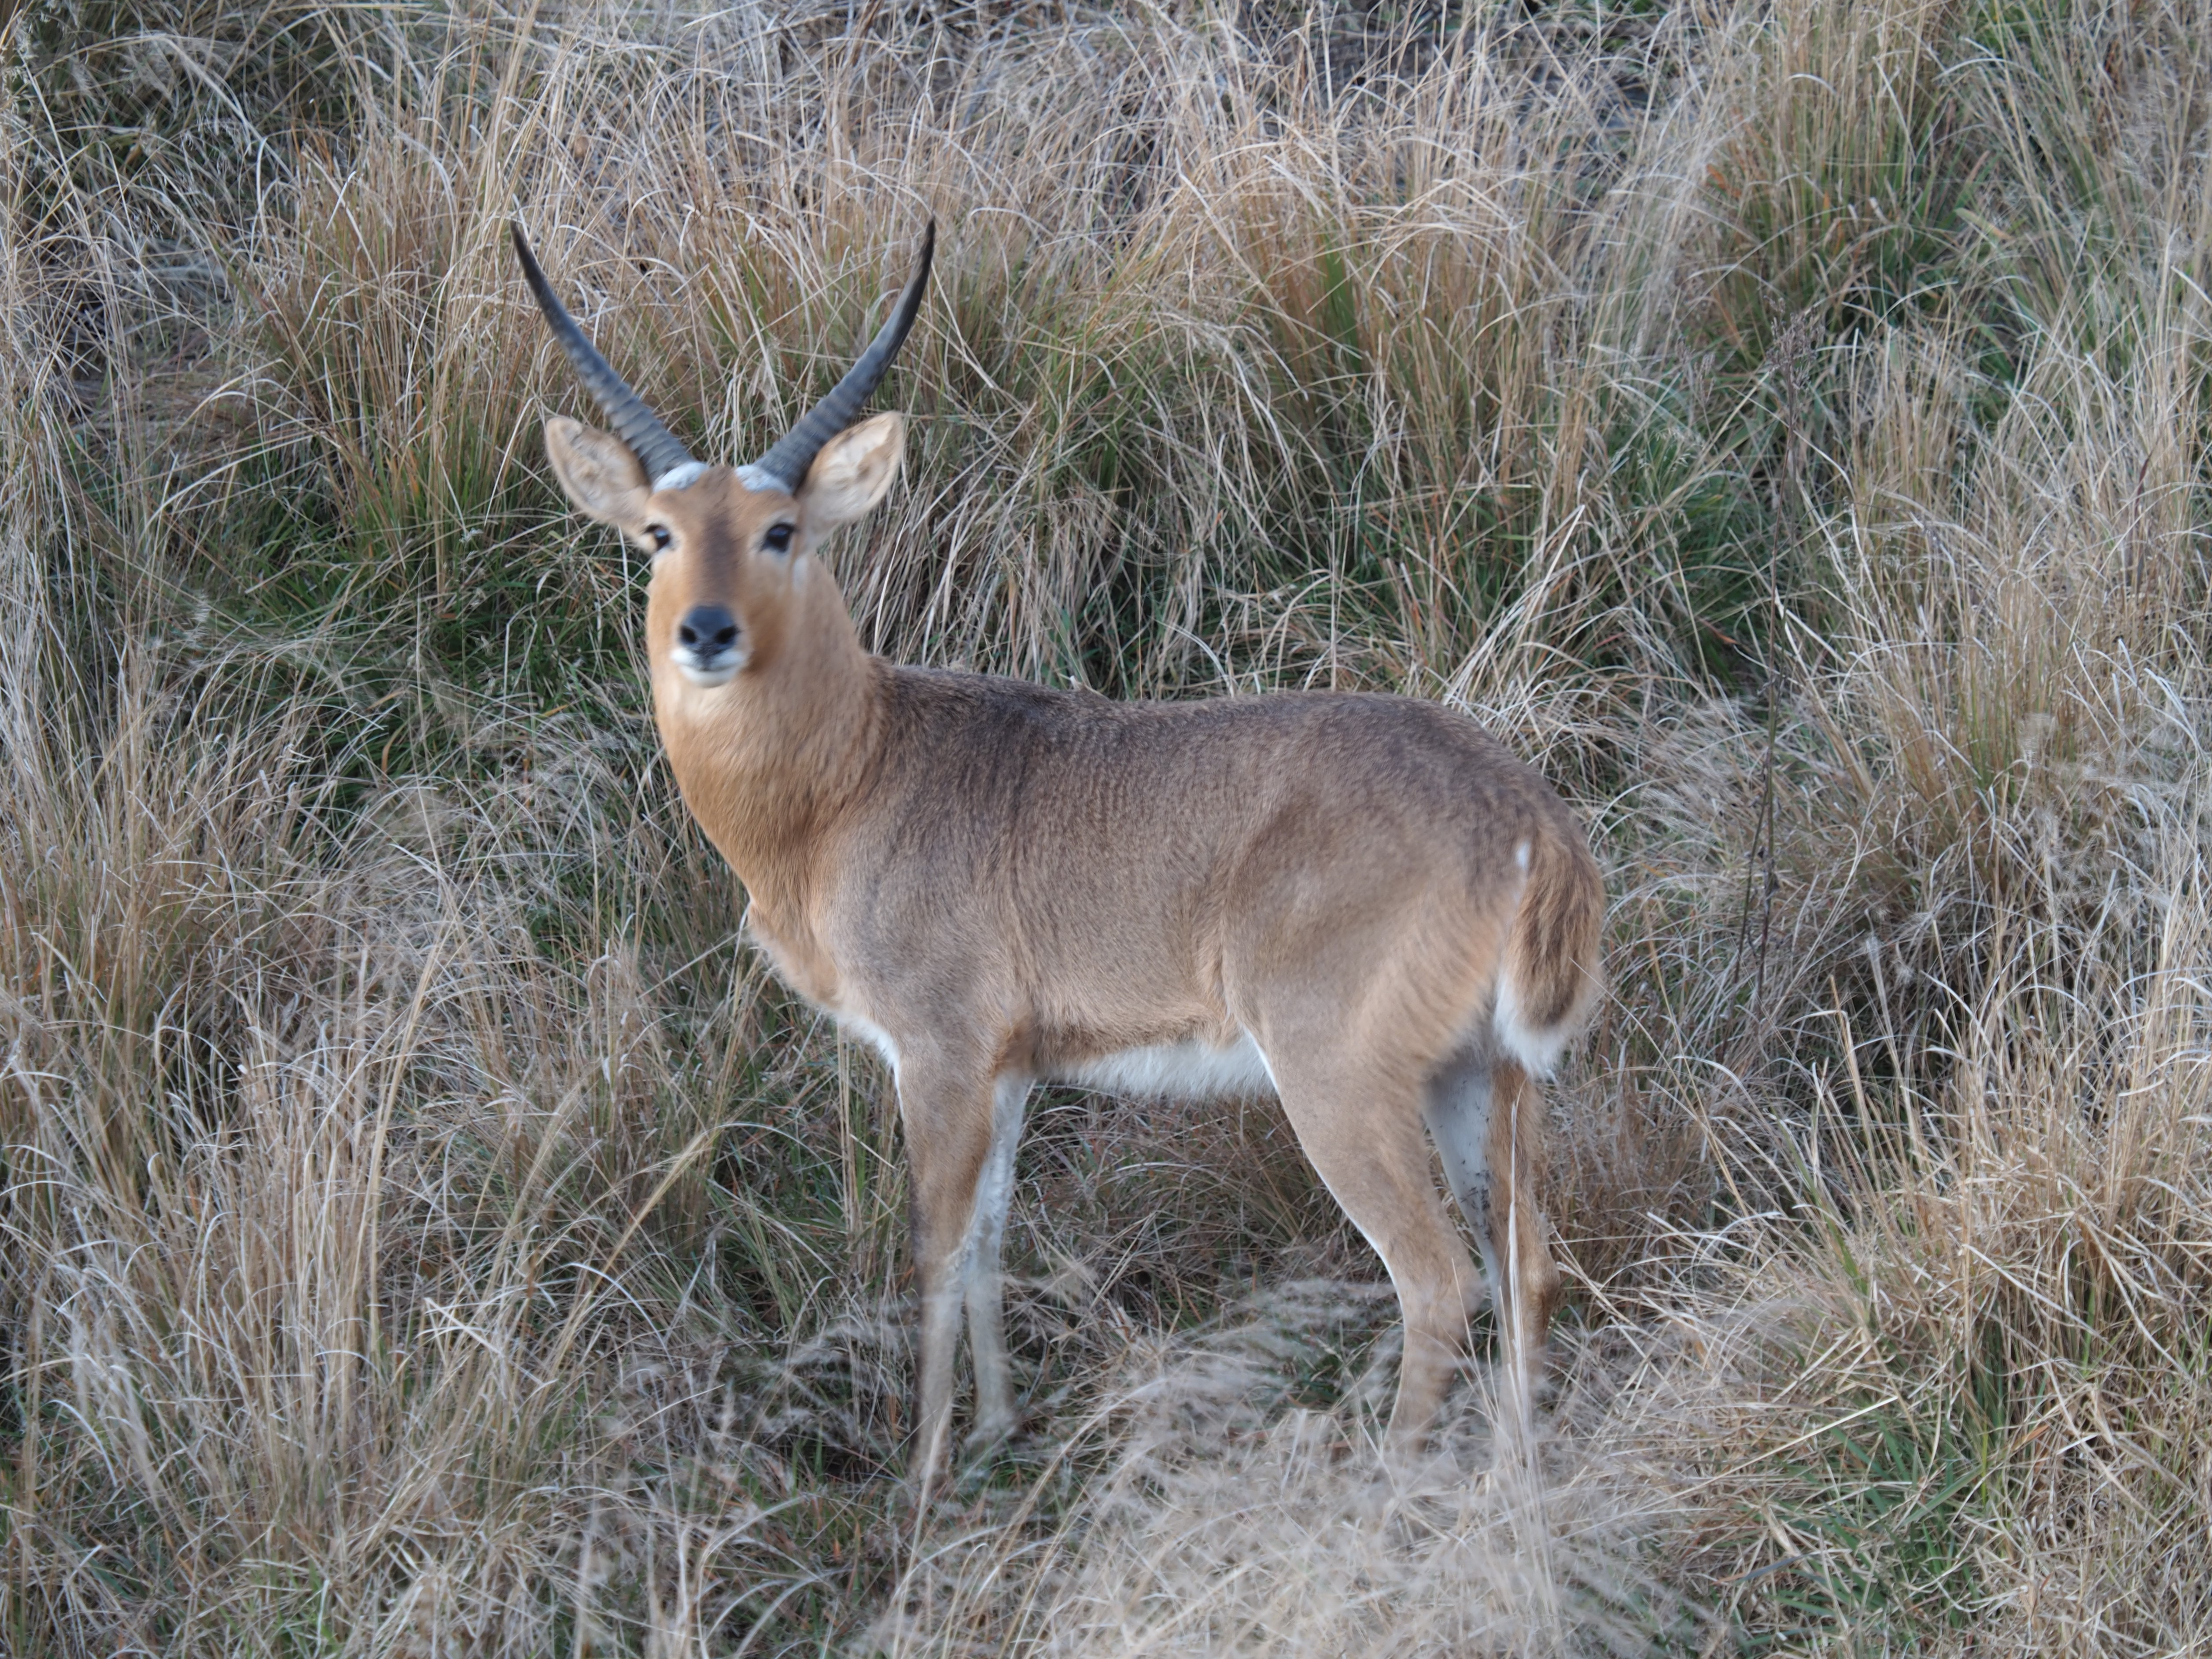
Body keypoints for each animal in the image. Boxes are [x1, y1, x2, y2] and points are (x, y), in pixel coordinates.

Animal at [509, 221, 1601, 1477]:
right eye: (660, 533)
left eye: (781, 529)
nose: (705, 632)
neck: (856, 776)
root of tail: (1521, 814)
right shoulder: (1011, 1068)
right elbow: (989, 1237)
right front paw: (992, 1430)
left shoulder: (936, 1054)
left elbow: (934, 1249)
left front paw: (925, 1471)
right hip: (1482, 1074)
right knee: (1525, 1263)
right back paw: (1511, 1478)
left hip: (1338, 1081)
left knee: (1436, 1280)